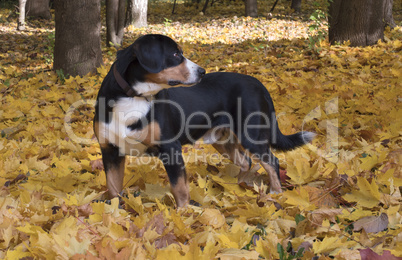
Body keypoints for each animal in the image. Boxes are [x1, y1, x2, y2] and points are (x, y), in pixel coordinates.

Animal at [93, 34, 314, 207]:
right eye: (175, 55)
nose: (202, 72)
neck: (132, 97)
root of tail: (258, 83)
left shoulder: (170, 148)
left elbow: (179, 188)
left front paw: (184, 214)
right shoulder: (110, 150)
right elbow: (113, 188)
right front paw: (115, 213)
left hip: (251, 136)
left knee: (271, 162)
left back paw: (275, 193)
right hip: (223, 140)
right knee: (246, 162)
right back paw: (238, 187)